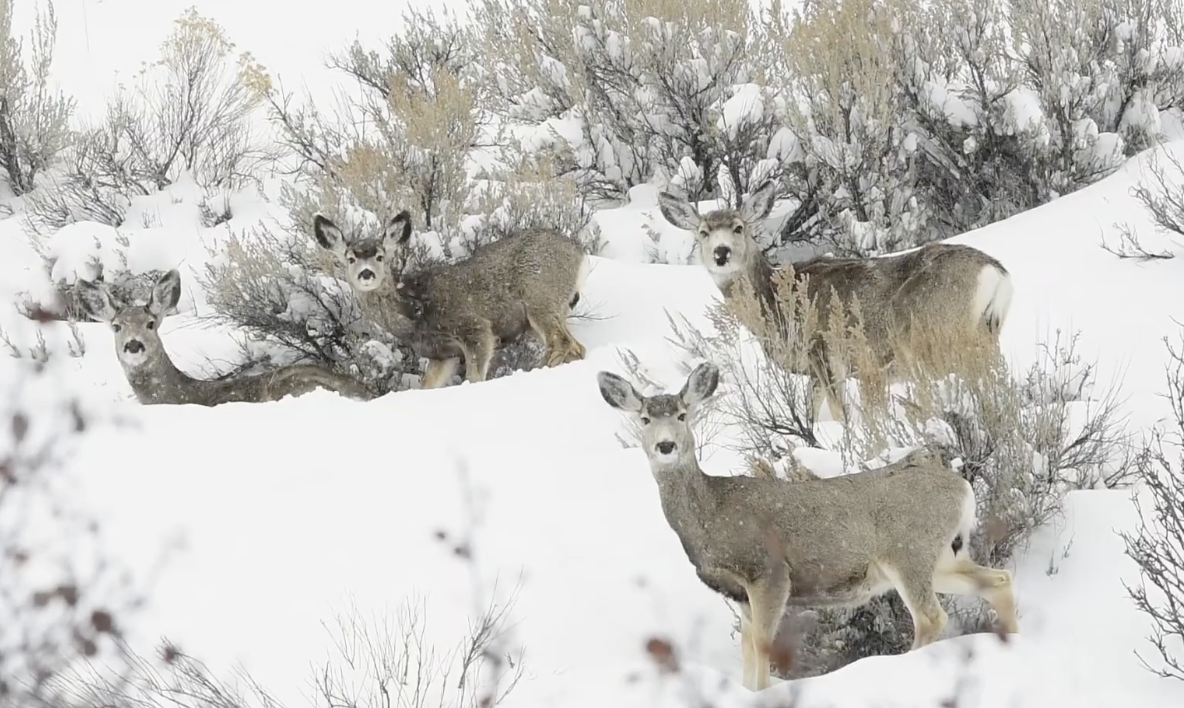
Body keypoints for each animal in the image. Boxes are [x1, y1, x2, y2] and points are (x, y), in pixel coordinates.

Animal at [313, 211, 589, 389]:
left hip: (539, 296)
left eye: (380, 256)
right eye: (350, 258)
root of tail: (579, 252)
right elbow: (426, 386)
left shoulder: (474, 328)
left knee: (562, 343)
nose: (366, 273)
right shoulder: (441, 355)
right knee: (577, 348)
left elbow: (475, 378)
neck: (415, 311)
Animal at [596, 361, 1019, 691]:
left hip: (908, 552)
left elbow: (763, 646)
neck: (711, 513)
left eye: (683, 414)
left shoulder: (769, 573)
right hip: (944, 557)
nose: (666, 446)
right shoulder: (740, 594)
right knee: (999, 580)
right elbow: (747, 650)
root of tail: (962, 485)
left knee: (933, 617)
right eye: (645, 419)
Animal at [656, 181, 1014, 422]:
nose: (721, 253)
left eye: (739, 227)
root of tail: (998, 276)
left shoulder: (826, 354)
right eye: (703, 232)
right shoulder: (814, 372)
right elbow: (811, 415)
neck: (775, 302)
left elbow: (841, 414)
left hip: (943, 341)